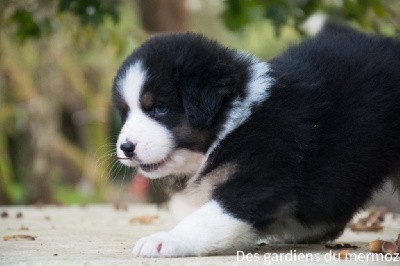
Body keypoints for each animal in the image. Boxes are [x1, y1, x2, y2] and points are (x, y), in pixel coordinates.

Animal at [111, 20, 400, 258]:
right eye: (125, 113)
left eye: (159, 108)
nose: (126, 147)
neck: (234, 123)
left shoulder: (259, 175)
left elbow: (209, 216)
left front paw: (164, 241)